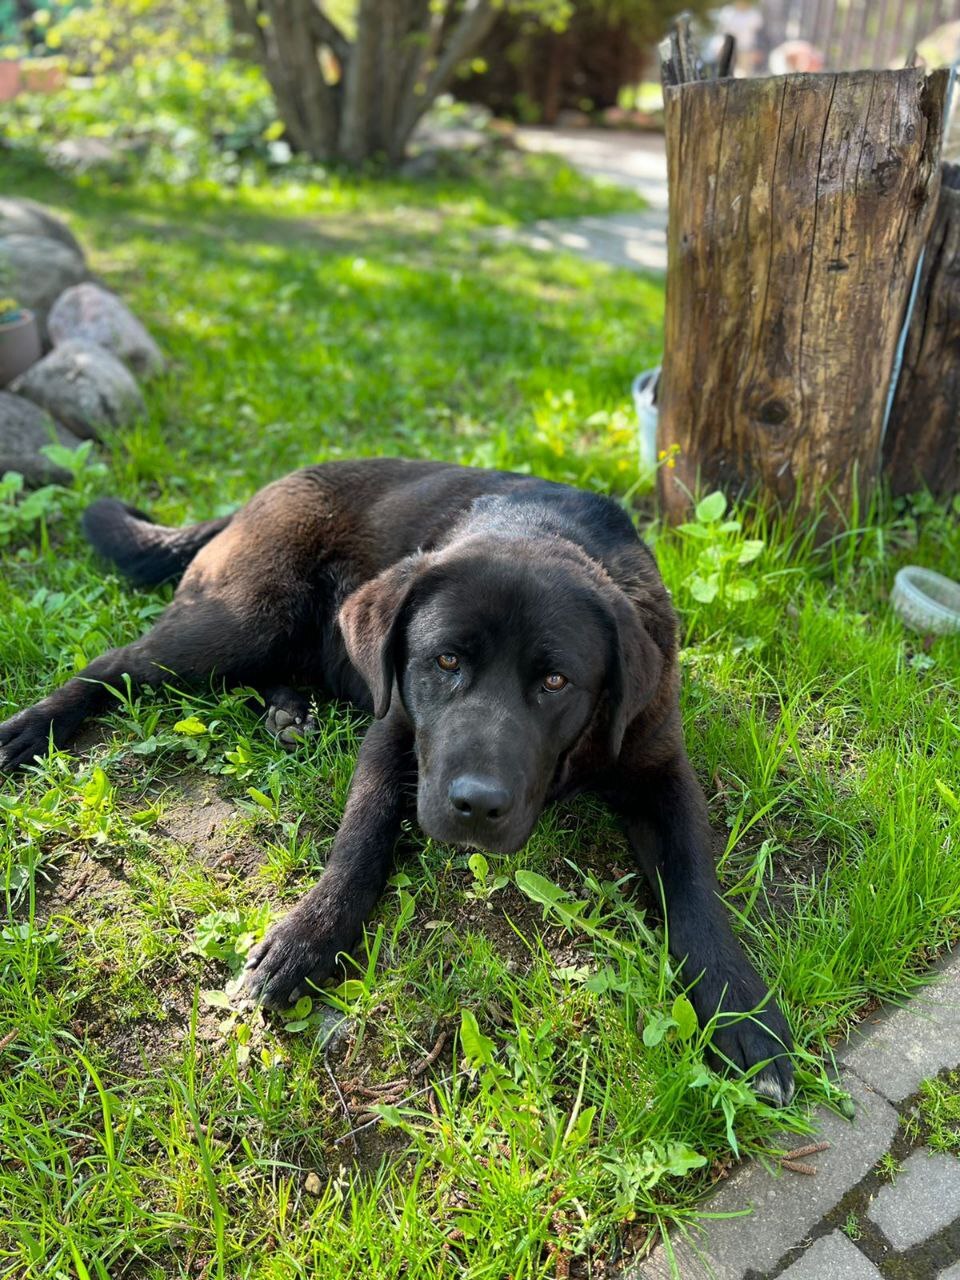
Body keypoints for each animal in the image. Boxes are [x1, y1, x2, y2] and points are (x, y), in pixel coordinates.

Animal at [0, 460, 798, 1100]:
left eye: (556, 681)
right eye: (444, 661)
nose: (476, 806)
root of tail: (262, 491)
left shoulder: (660, 768)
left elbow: (695, 888)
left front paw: (743, 1011)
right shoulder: (395, 735)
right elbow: (360, 839)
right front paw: (306, 937)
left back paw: (287, 712)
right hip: (237, 618)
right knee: (115, 665)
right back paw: (30, 728)